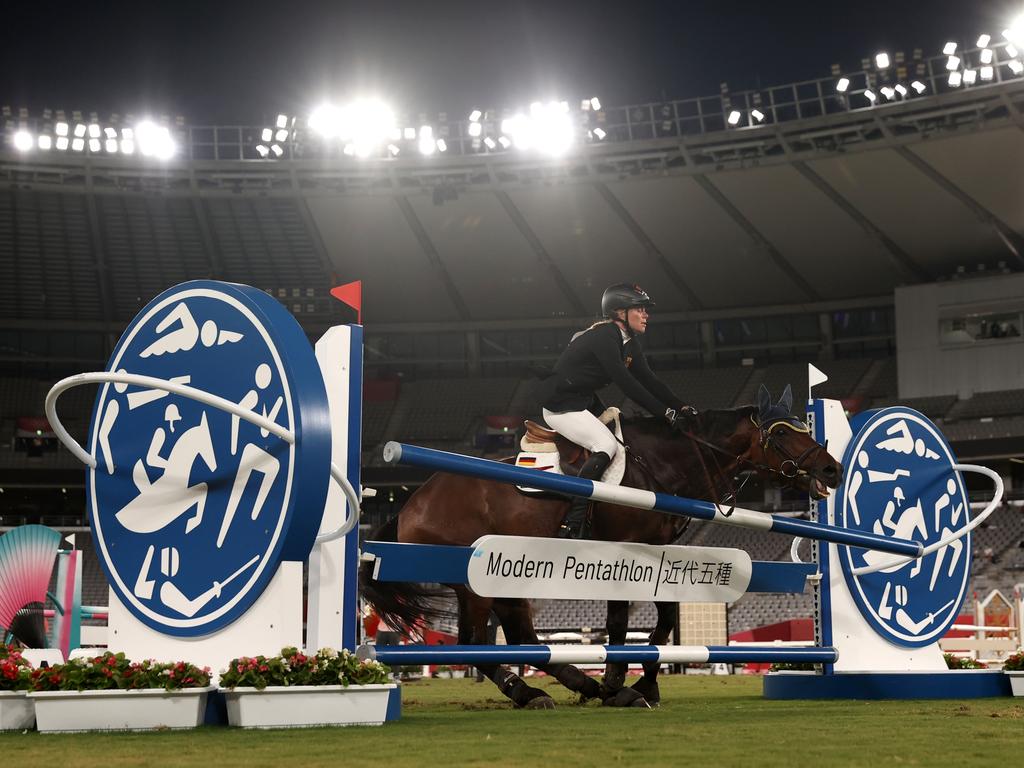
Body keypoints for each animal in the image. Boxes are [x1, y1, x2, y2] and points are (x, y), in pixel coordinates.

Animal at [364, 385, 843, 708]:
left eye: (802, 425)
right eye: (782, 434)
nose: (833, 470)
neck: (660, 464)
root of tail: (412, 502)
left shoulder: (658, 552)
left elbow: (664, 621)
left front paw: (639, 683)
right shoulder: (624, 548)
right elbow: (619, 621)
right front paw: (618, 682)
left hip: (506, 578)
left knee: (522, 638)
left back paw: (575, 684)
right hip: (470, 583)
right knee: (472, 645)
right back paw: (531, 690)